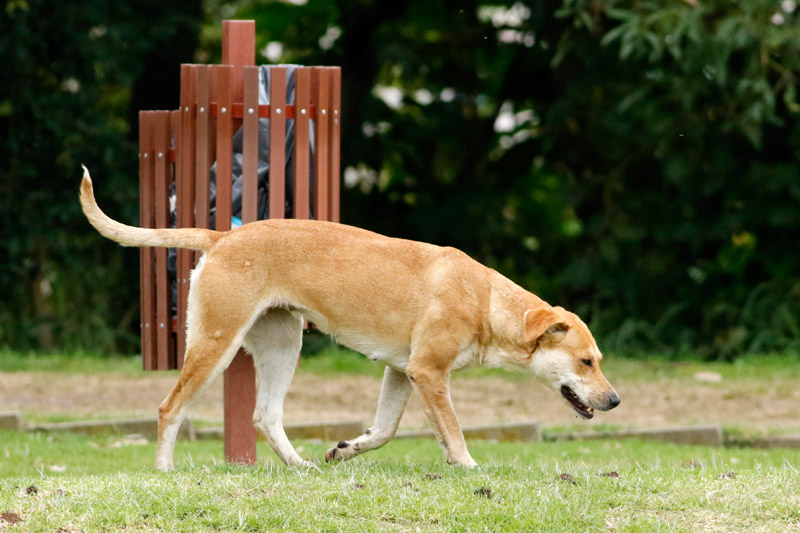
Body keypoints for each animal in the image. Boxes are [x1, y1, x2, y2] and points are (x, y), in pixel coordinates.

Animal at [79, 166, 619, 469]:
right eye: (587, 361)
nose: (614, 400)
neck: (485, 299)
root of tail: (222, 237)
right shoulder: (428, 372)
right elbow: (453, 428)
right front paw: (467, 466)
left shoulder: (402, 373)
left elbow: (384, 431)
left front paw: (345, 450)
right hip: (216, 343)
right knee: (170, 408)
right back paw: (165, 471)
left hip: (282, 346)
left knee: (265, 414)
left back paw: (300, 465)